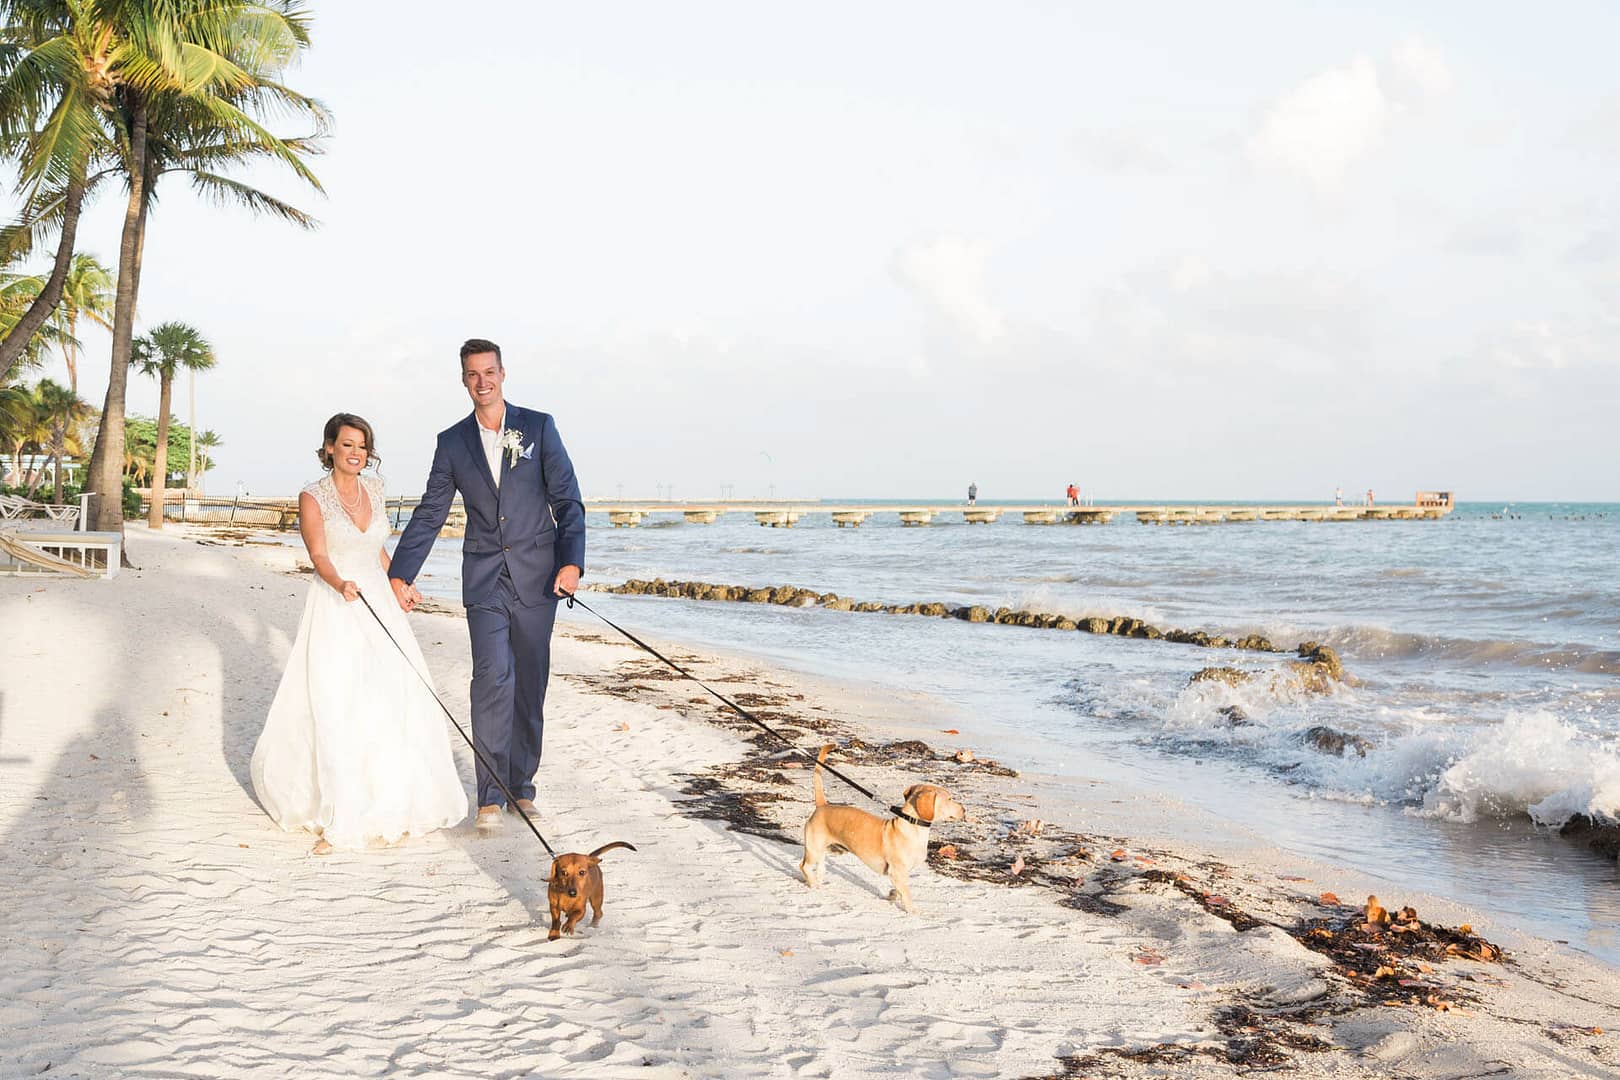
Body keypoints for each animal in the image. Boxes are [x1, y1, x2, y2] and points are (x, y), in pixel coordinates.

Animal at [797, 744, 959, 913]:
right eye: (950, 799)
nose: (964, 810)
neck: (912, 826)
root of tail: (822, 806)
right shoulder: (897, 871)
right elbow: (906, 893)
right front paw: (912, 910)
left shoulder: (900, 874)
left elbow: (899, 890)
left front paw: (892, 895)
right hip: (814, 849)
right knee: (804, 866)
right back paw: (813, 883)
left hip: (828, 849)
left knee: (820, 867)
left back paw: (817, 882)